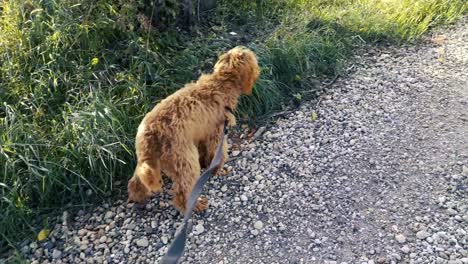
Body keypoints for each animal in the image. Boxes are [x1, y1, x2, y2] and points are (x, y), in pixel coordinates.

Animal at [128, 46, 260, 212]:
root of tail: (149, 131)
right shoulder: (216, 132)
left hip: (148, 158)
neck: (221, 83)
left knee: (136, 181)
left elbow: (205, 152)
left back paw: (137, 198)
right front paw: (217, 169)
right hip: (184, 158)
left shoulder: (202, 133)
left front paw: (207, 164)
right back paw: (195, 204)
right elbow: (218, 153)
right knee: (182, 191)